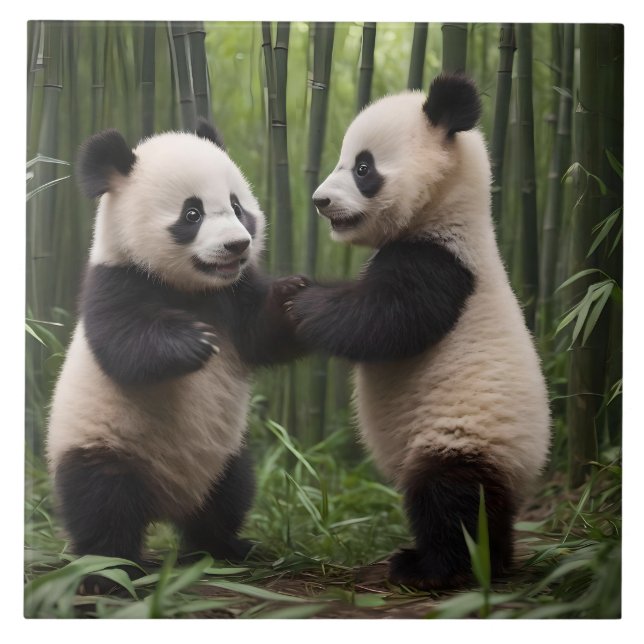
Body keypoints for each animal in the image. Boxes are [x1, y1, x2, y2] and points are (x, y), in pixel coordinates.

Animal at [46, 121, 305, 590]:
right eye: (192, 214)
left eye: (237, 207)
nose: (237, 246)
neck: (193, 289)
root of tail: (168, 501)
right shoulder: (114, 282)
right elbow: (123, 343)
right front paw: (193, 343)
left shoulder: (234, 295)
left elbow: (262, 334)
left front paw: (294, 295)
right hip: (105, 445)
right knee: (101, 502)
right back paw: (108, 570)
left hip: (225, 456)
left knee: (230, 496)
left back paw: (227, 548)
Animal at [287, 74, 551, 589]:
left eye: (363, 167)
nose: (320, 201)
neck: (445, 209)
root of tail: (524, 472)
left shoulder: (444, 265)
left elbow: (383, 322)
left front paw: (302, 304)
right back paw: (496, 559)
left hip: (464, 435)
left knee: (450, 500)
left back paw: (435, 567)